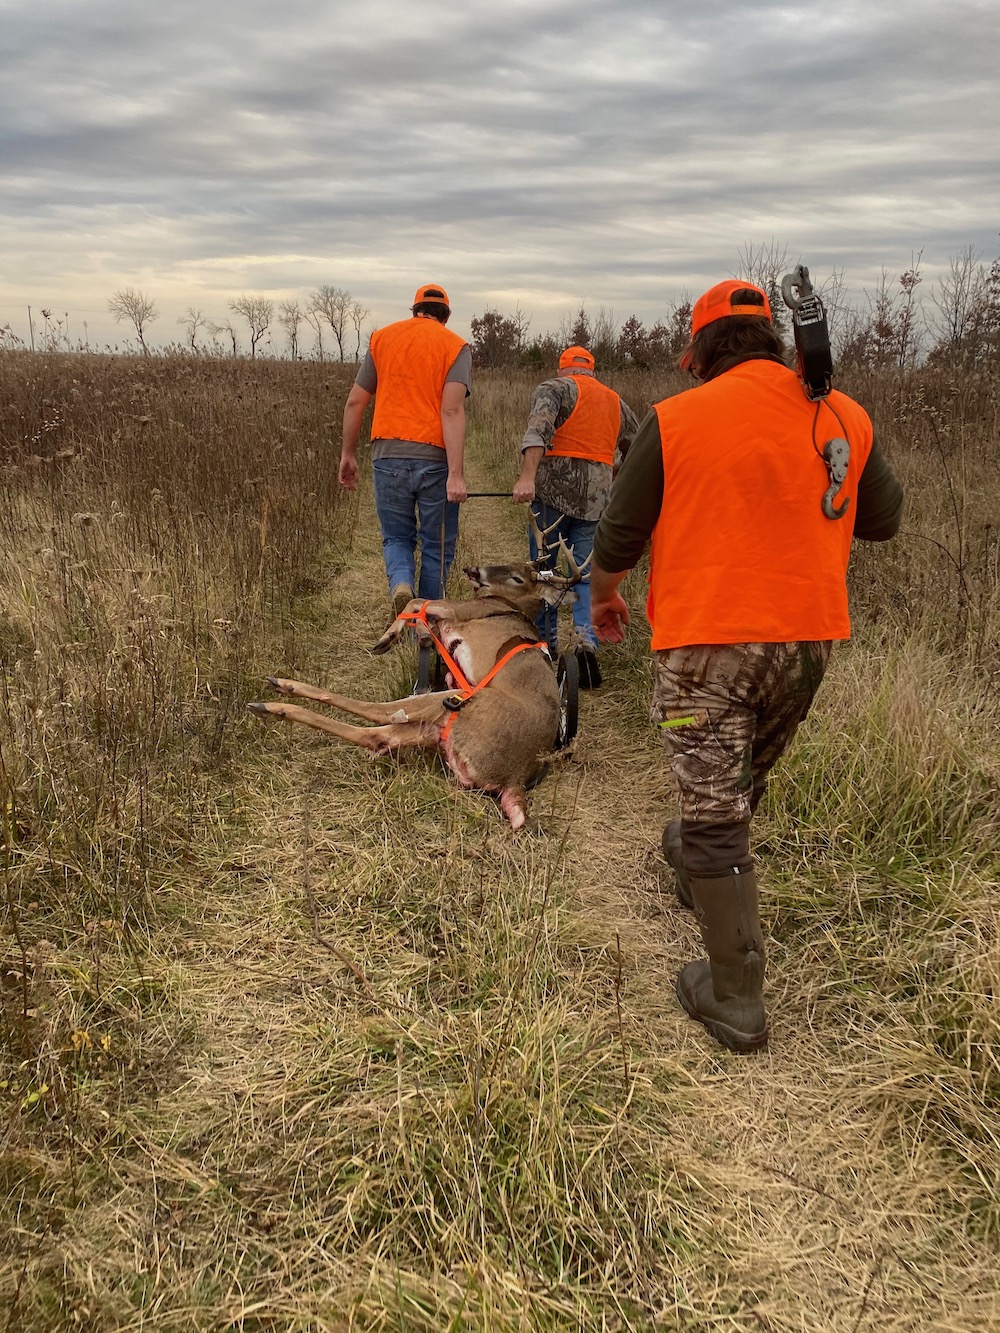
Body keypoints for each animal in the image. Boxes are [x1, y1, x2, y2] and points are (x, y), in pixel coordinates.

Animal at [245, 538, 584, 826]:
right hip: (436, 729)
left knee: (376, 710)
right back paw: (275, 698)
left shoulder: (458, 609)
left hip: (458, 701)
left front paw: (387, 638)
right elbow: (420, 607)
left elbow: (418, 601)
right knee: (377, 735)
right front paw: (406, 634)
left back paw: (275, 697)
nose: (473, 570)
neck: (509, 606)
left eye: (517, 577)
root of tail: (516, 782)